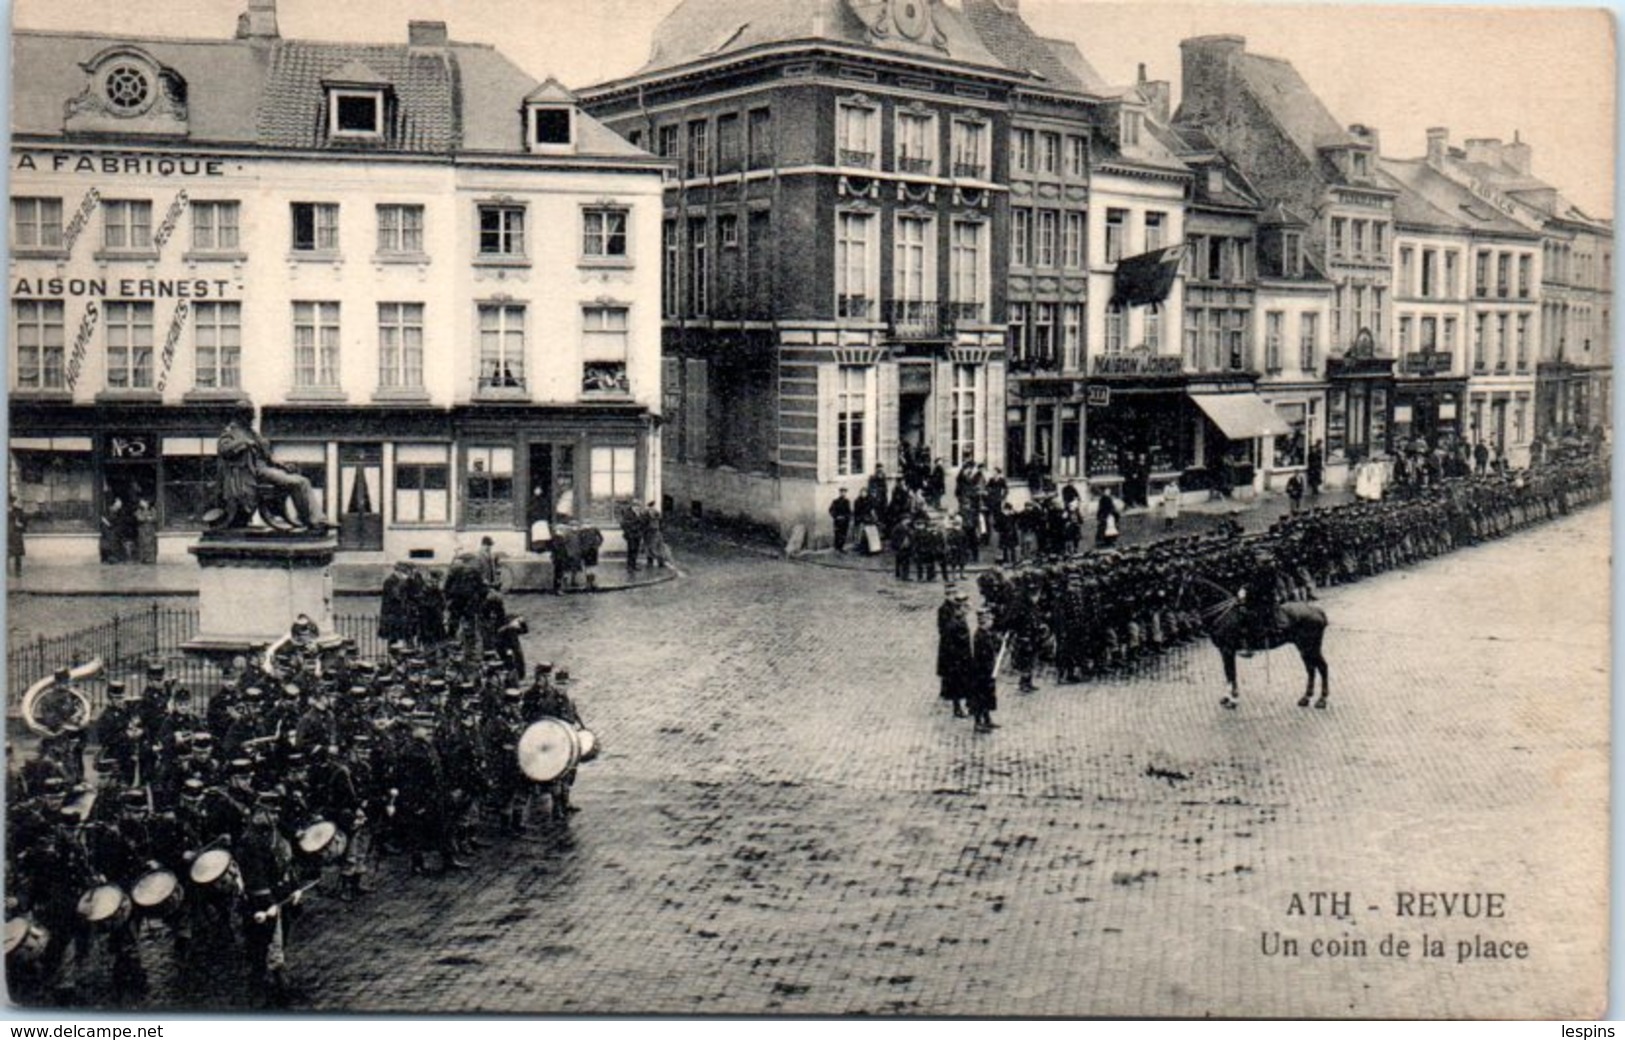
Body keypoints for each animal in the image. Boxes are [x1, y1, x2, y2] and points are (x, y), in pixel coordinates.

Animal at [1183, 572, 1332, 711]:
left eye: (1183, 590)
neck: (1223, 614)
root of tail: (1317, 610)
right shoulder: (1224, 651)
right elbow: (1228, 673)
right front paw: (1227, 698)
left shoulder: (1227, 650)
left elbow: (1231, 673)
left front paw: (1233, 699)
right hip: (1304, 648)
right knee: (1311, 669)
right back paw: (1306, 698)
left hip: (1310, 647)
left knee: (1322, 667)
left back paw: (1322, 700)